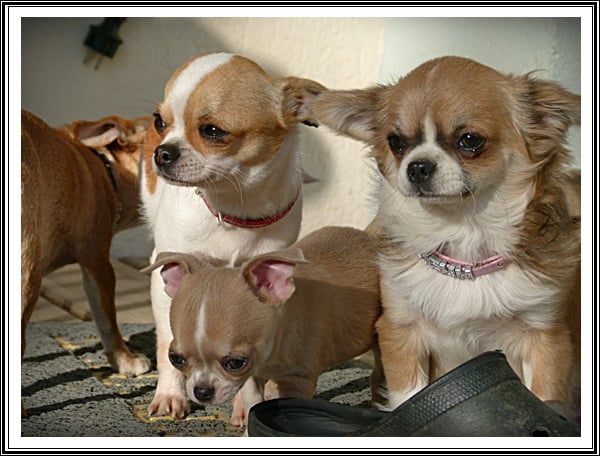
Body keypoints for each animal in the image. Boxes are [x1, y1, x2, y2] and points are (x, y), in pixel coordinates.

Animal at [139, 52, 326, 419]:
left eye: (213, 131)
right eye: (160, 122)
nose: (162, 152)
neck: (233, 209)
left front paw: (244, 404)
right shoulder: (167, 273)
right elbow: (168, 340)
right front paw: (171, 394)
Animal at [142, 226, 382, 426]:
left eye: (235, 362)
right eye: (176, 359)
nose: (202, 391)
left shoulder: (295, 381)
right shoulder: (251, 377)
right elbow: (253, 403)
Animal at [309, 56, 581, 418]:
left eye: (470, 140)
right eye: (396, 142)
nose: (417, 167)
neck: (463, 238)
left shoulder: (546, 339)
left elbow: (546, 399)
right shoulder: (402, 330)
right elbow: (410, 397)